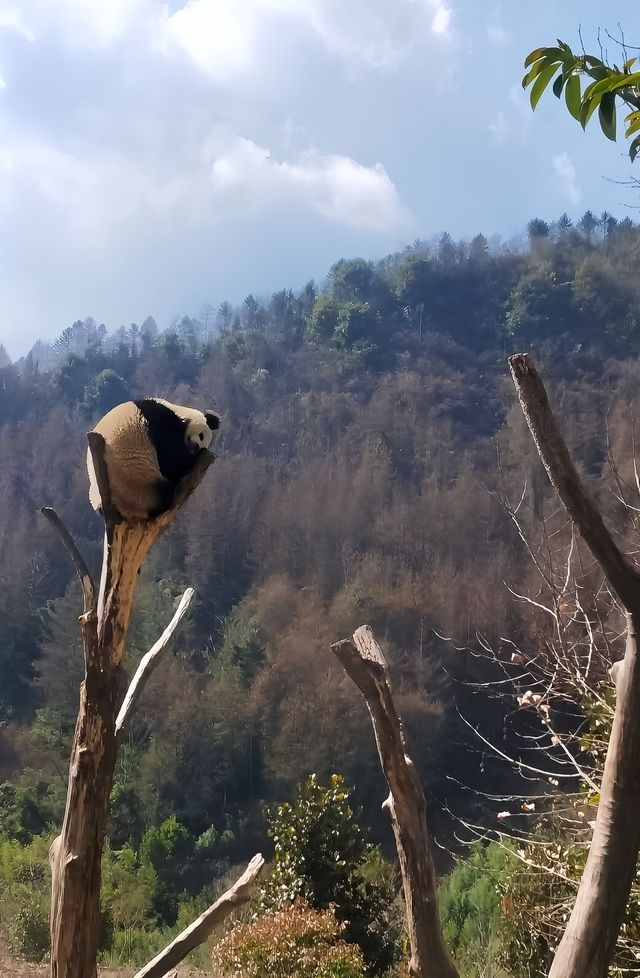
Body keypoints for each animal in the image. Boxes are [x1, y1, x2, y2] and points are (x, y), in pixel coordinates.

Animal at [87, 396, 220, 524]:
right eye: (201, 436)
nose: (197, 448)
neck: (178, 412)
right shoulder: (161, 423)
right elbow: (172, 463)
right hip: (139, 487)